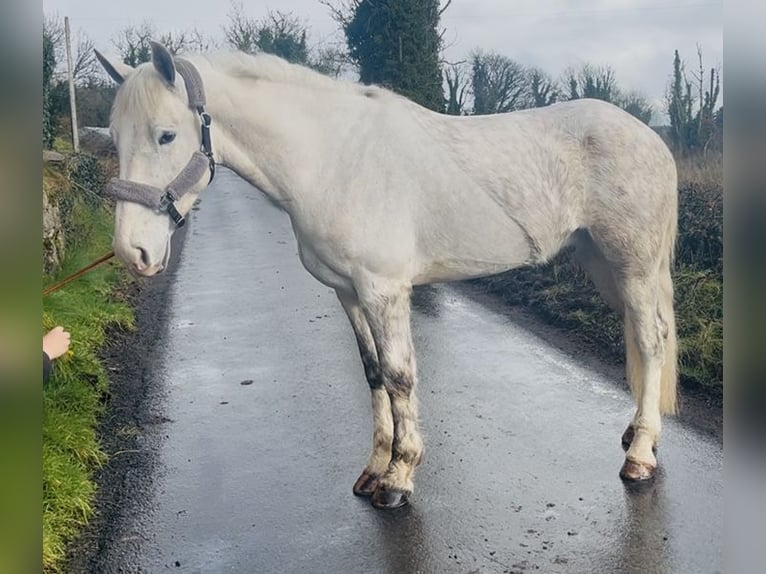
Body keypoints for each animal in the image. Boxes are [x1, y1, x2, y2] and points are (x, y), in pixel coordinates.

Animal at [95, 42, 678, 509]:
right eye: (113, 138)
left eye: (166, 135)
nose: (132, 252)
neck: (332, 161)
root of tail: (650, 138)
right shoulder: (348, 293)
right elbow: (373, 372)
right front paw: (375, 468)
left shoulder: (384, 291)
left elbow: (400, 377)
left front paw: (399, 479)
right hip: (604, 267)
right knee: (644, 335)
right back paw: (637, 435)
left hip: (633, 266)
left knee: (651, 341)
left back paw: (640, 456)